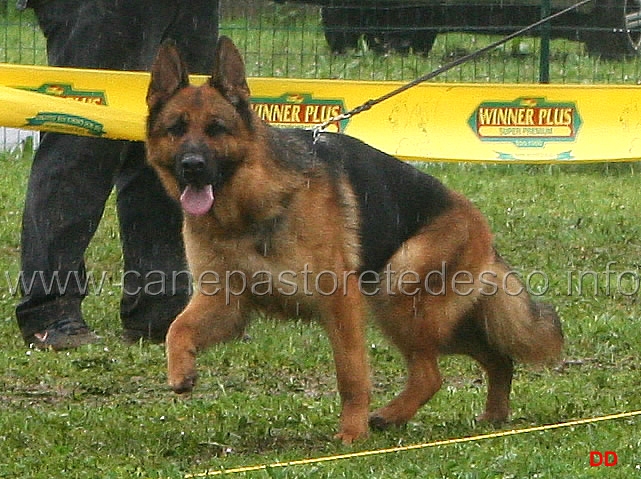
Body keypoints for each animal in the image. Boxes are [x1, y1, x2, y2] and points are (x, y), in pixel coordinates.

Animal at [144, 35, 560, 444]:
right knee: (495, 357)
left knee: (431, 374)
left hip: (398, 297)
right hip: (432, 317)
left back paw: (390, 416)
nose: (192, 167)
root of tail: (479, 226)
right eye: (176, 128)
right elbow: (177, 328)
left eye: (216, 129)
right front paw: (180, 371)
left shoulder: (339, 303)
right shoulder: (225, 303)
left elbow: (350, 373)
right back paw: (492, 413)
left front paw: (352, 433)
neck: (252, 205)